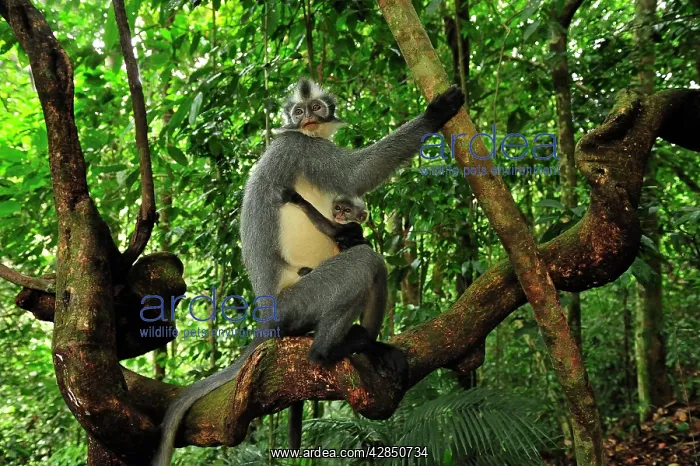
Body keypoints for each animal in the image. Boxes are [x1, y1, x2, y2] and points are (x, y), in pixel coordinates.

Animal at [151, 78, 464, 465]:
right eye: (299, 112)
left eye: (315, 108)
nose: (307, 119)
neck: (303, 134)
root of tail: (266, 318)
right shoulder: (299, 146)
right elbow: (354, 176)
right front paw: (436, 112)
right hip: (298, 300)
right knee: (368, 263)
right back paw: (329, 351)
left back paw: (370, 345)